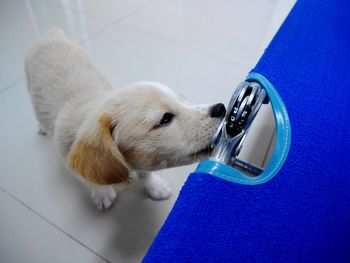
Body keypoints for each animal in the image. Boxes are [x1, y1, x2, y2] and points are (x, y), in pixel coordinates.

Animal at [25, 28, 227, 210]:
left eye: (183, 100)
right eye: (165, 119)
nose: (222, 108)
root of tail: (52, 34)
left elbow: (145, 174)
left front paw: (155, 187)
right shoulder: (68, 160)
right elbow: (89, 180)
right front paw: (102, 193)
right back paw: (42, 127)